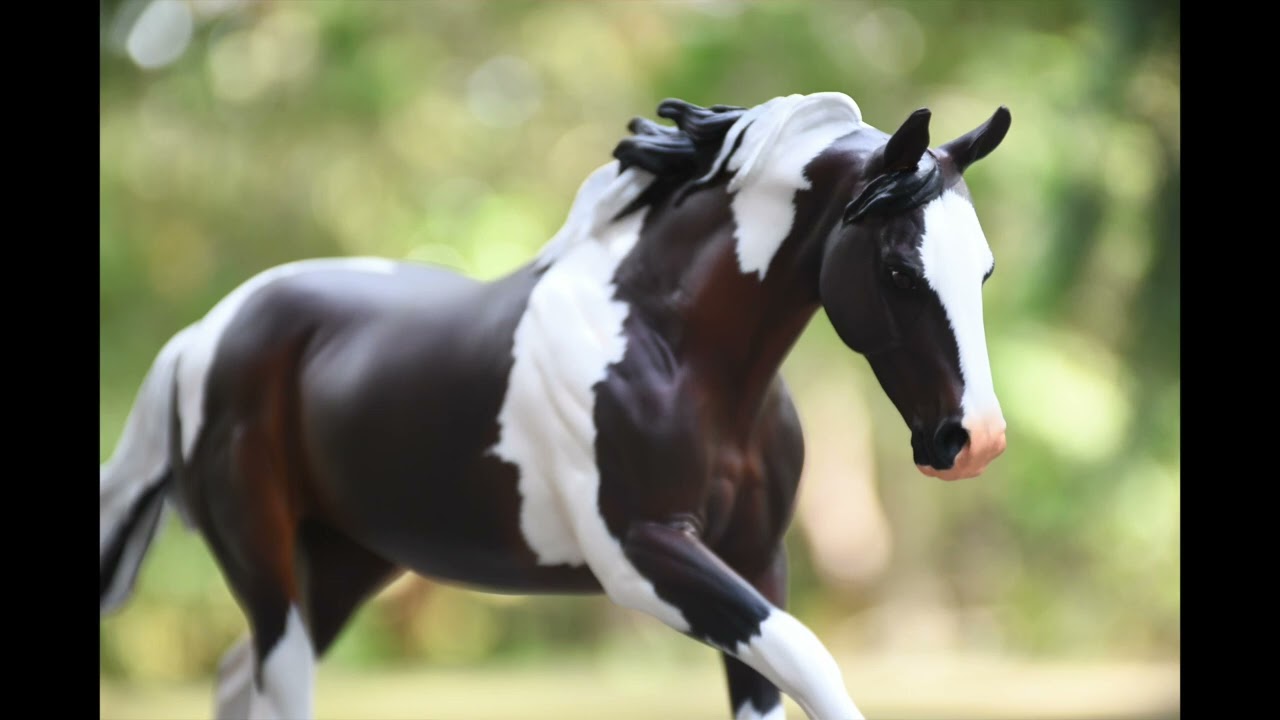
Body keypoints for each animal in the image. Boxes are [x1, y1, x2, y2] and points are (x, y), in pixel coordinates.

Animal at [100, 91, 1010, 720]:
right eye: (898, 268)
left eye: (985, 268)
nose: (974, 442)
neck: (673, 348)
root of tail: (204, 335)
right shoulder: (642, 556)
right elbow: (814, 661)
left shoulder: (757, 560)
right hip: (266, 566)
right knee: (275, 684)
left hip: (344, 560)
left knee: (234, 680)